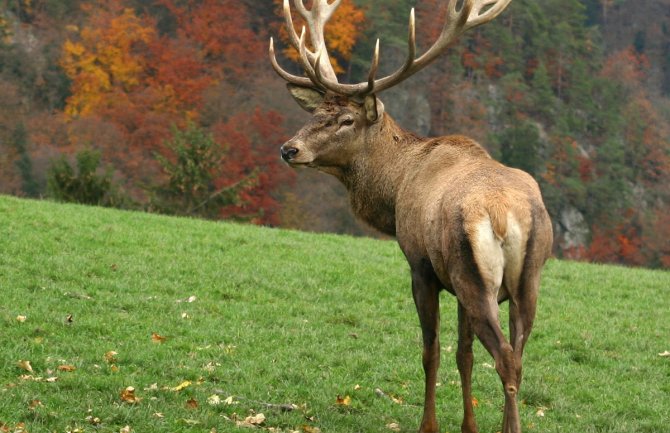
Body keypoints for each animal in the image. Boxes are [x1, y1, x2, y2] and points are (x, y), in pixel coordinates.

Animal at [270, 0, 552, 432]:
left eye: (347, 120)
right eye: (317, 112)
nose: (289, 149)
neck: (396, 189)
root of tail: (508, 216)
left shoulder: (421, 266)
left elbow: (430, 352)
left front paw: (428, 425)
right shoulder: (454, 282)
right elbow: (464, 354)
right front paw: (468, 426)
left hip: (474, 275)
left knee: (504, 357)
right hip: (526, 280)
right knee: (518, 357)